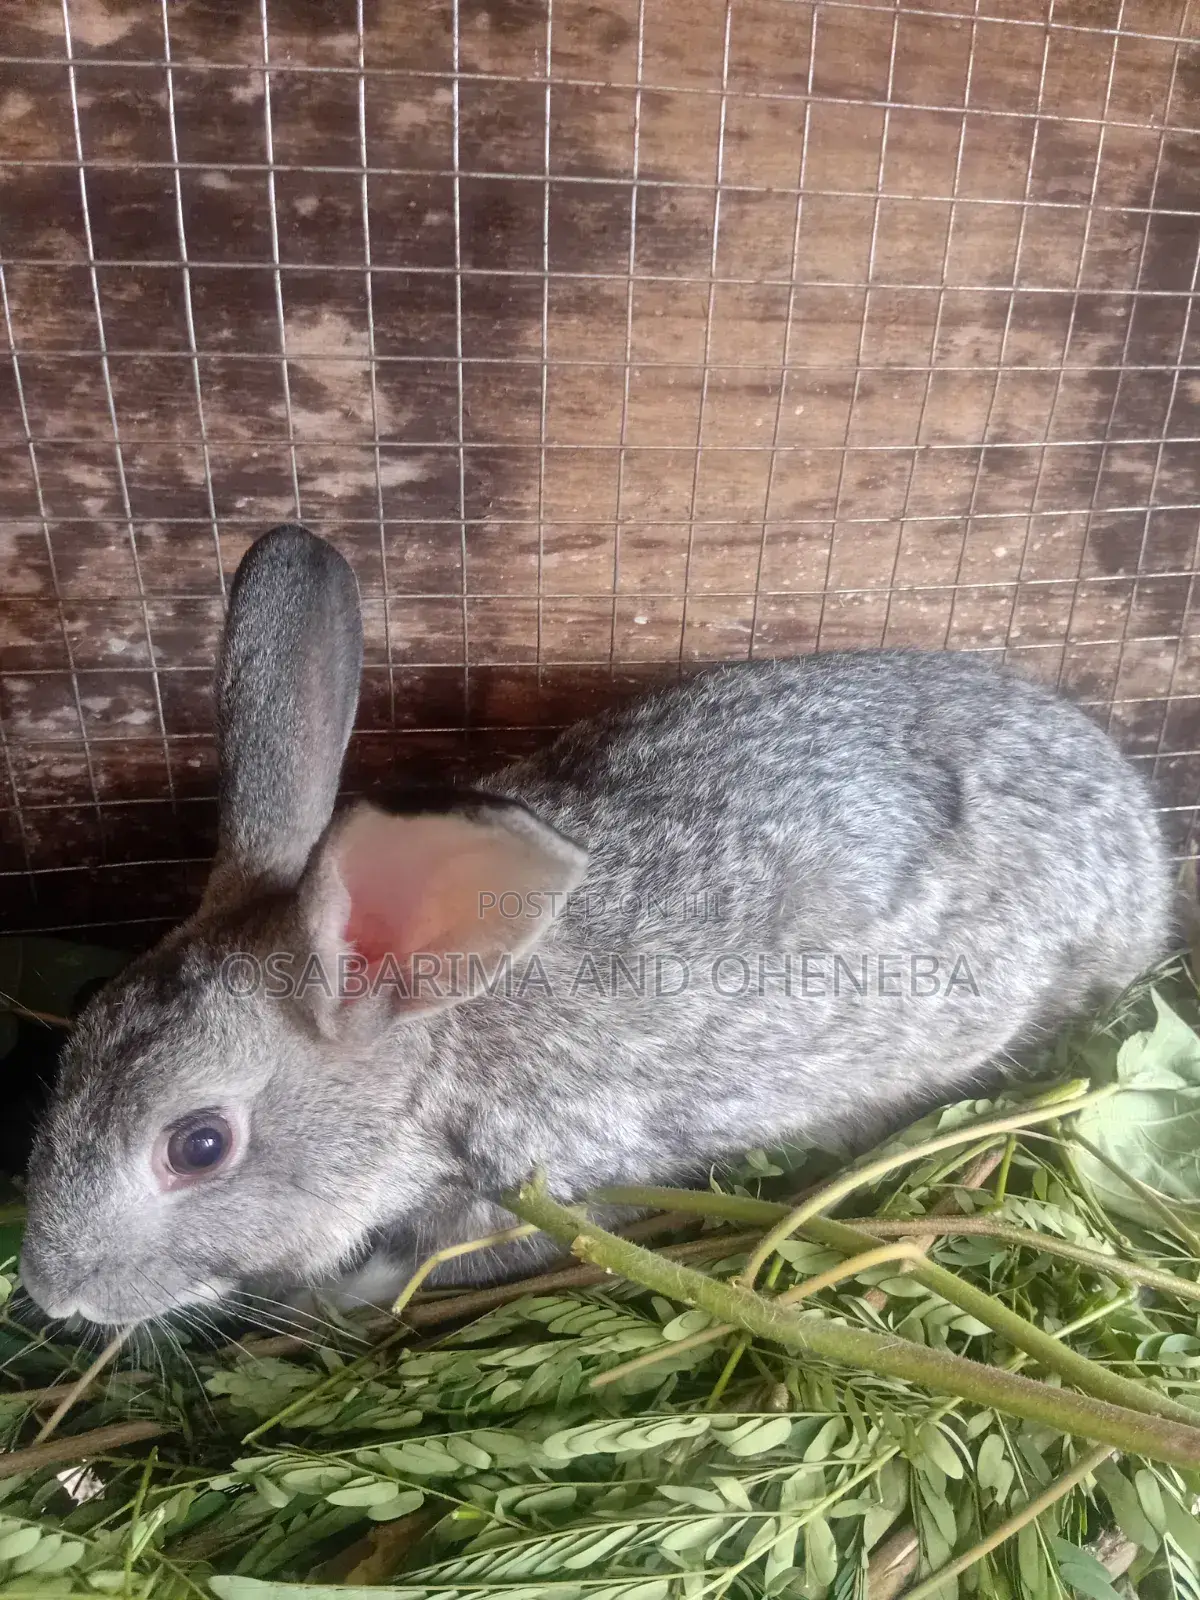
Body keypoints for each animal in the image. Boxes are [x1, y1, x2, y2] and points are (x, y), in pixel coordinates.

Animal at [19, 523, 1173, 1329]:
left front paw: (330, 1297)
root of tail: (1139, 827)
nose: (50, 1289)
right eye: (82, 1021)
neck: (433, 1046)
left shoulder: (547, 1184)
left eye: (199, 1146)